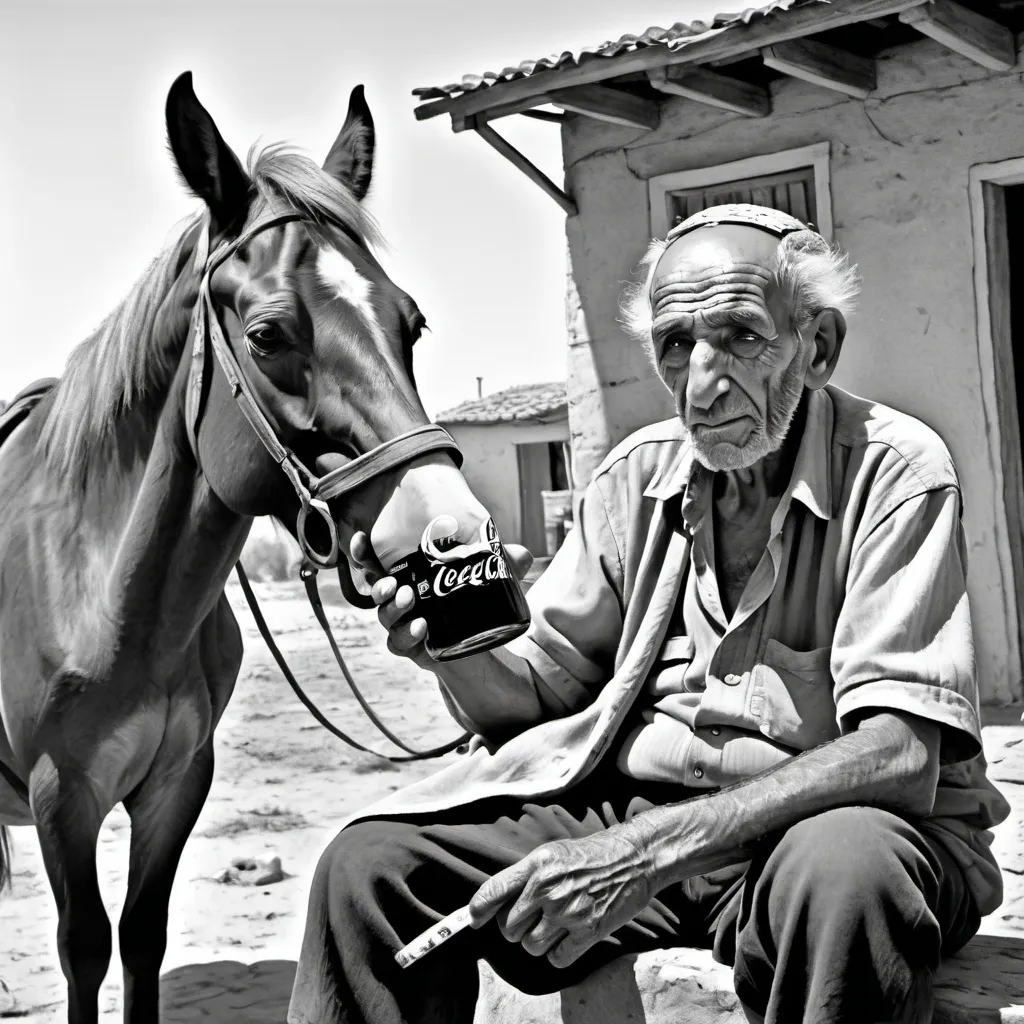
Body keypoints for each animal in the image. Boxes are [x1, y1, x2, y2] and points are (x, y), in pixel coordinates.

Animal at [0, 74, 495, 1024]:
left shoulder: (177, 783)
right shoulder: (59, 796)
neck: (105, 595)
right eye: (268, 335)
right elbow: (84, 949)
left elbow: (140, 938)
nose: (447, 527)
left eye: (410, 324)